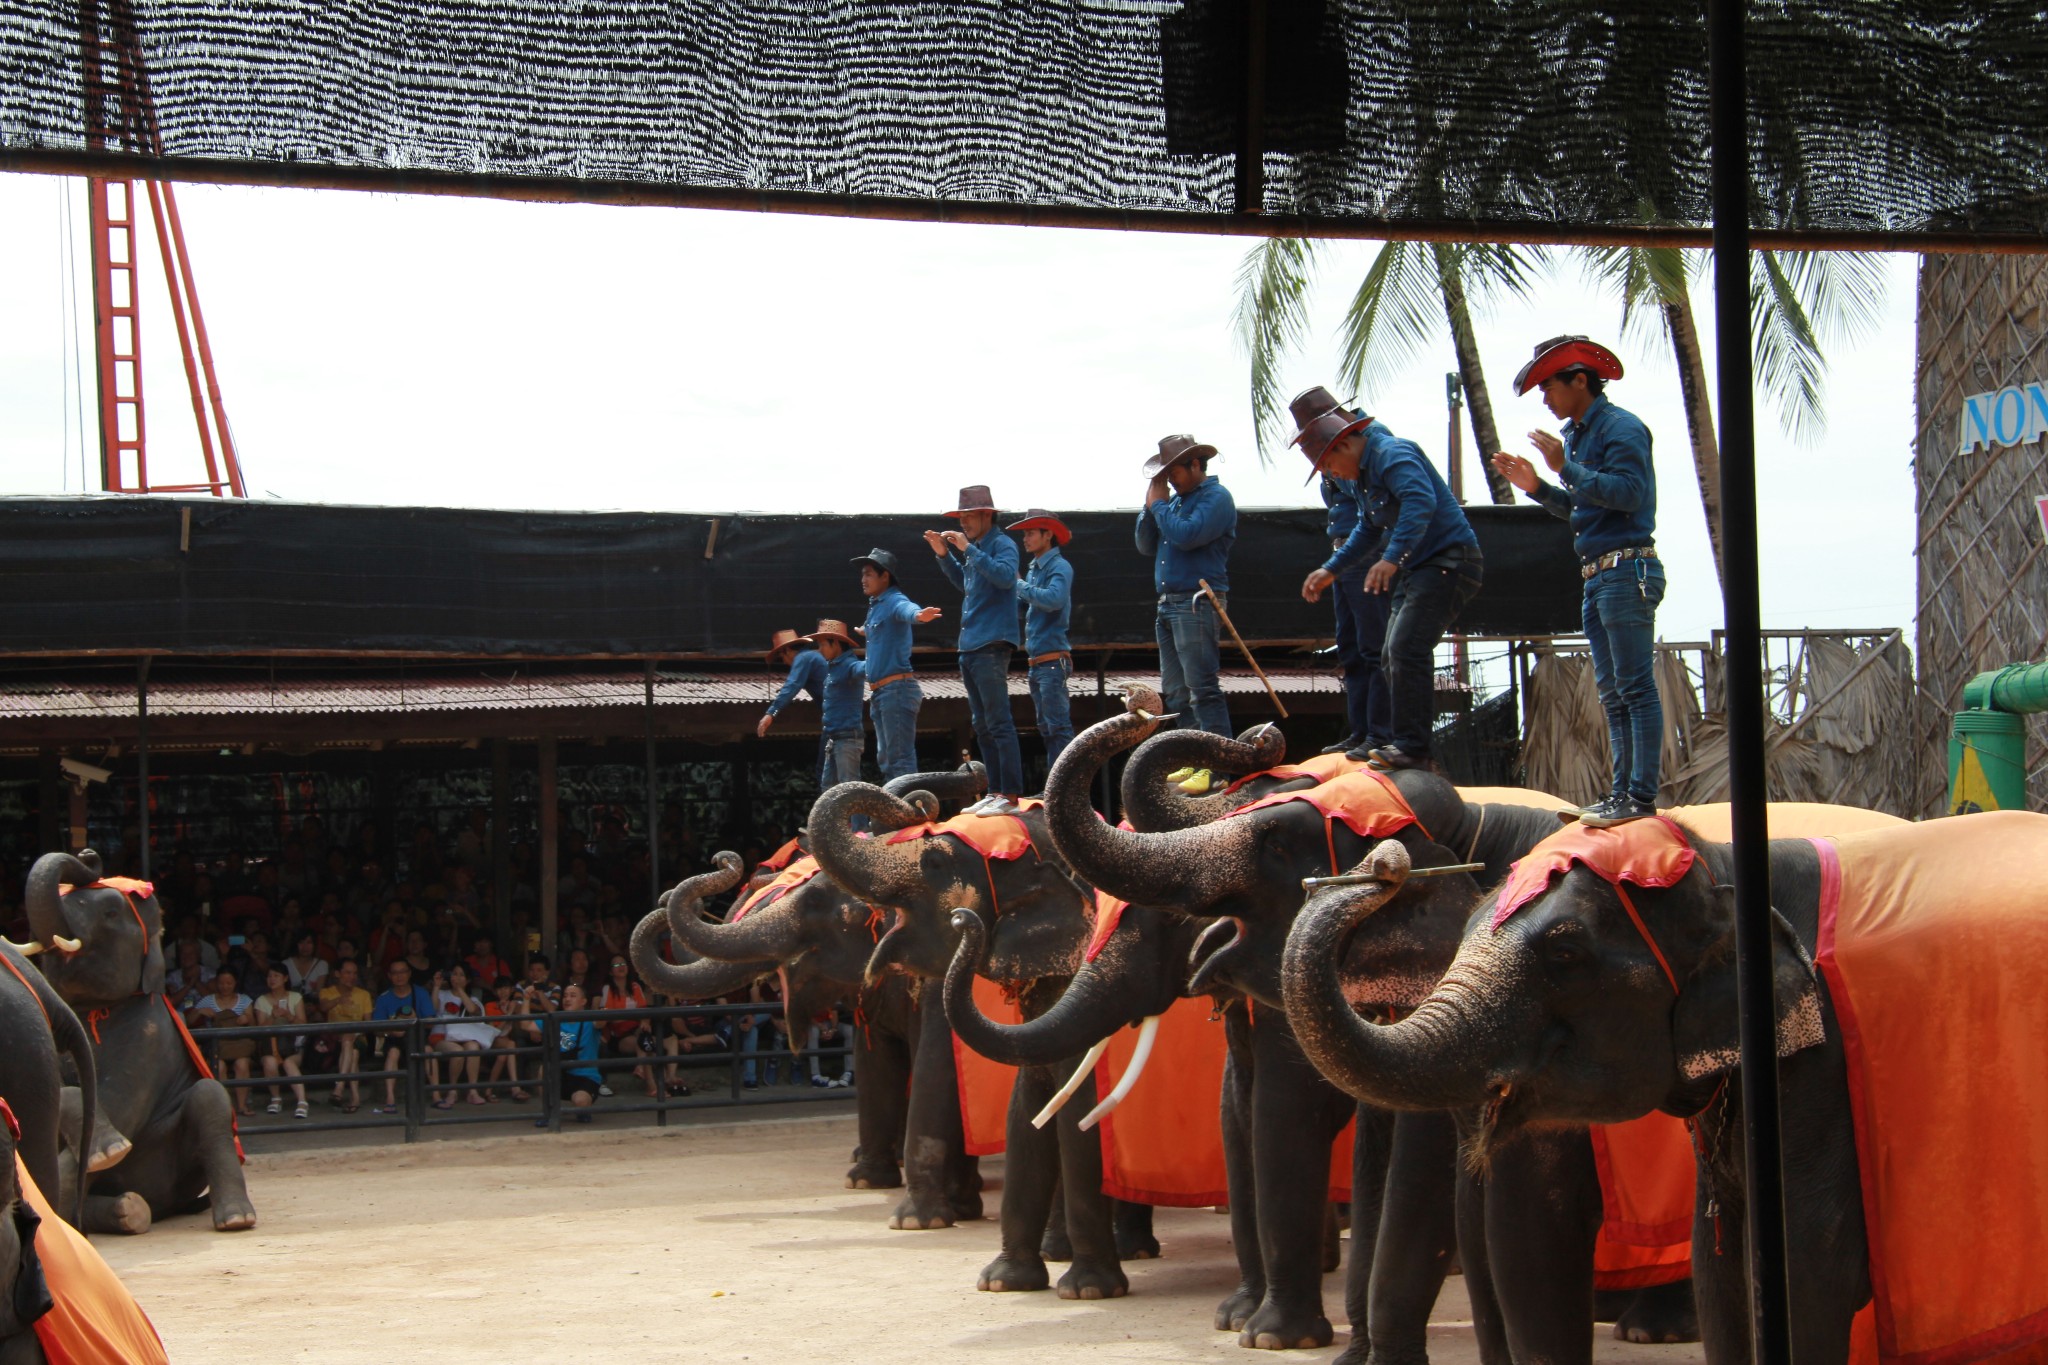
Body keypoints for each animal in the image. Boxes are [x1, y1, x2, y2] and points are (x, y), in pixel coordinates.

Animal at [20, 847, 254, 1236]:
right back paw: (127, 1210)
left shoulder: (150, 1038)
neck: (95, 1010)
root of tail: (165, 1208)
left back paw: (234, 1219)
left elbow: (121, 1104)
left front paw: (110, 1151)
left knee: (209, 1097)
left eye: (111, 913)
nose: (88, 853)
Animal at [1286, 826, 1875, 1365]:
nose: (1386, 862)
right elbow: (1717, 1264)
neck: (1719, 861)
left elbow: (1811, 1265)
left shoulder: (1818, 1070)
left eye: (1565, 954)